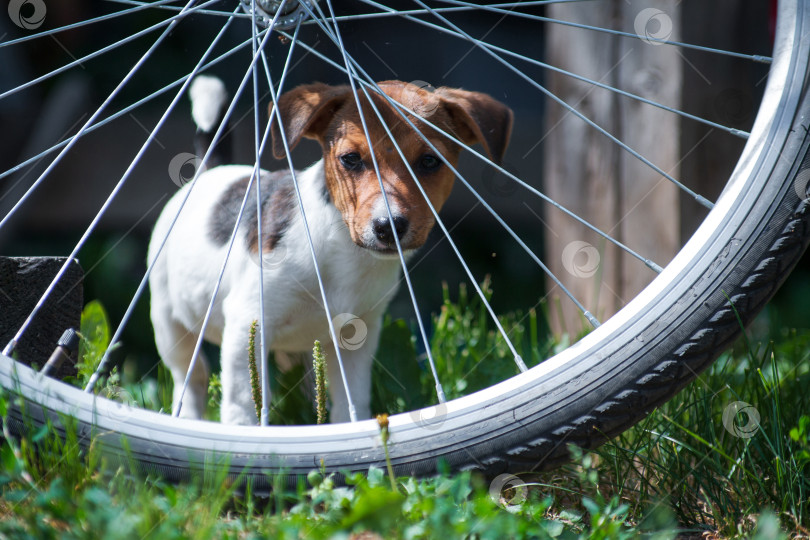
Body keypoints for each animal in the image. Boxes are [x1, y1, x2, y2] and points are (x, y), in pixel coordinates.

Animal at [147, 76, 512, 424]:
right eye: (351, 159)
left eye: (429, 161)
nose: (389, 225)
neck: (344, 251)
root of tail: (211, 173)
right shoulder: (247, 326)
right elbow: (244, 404)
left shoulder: (356, 339)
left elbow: (352, 401)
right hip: (169, 323)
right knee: (191, 377)